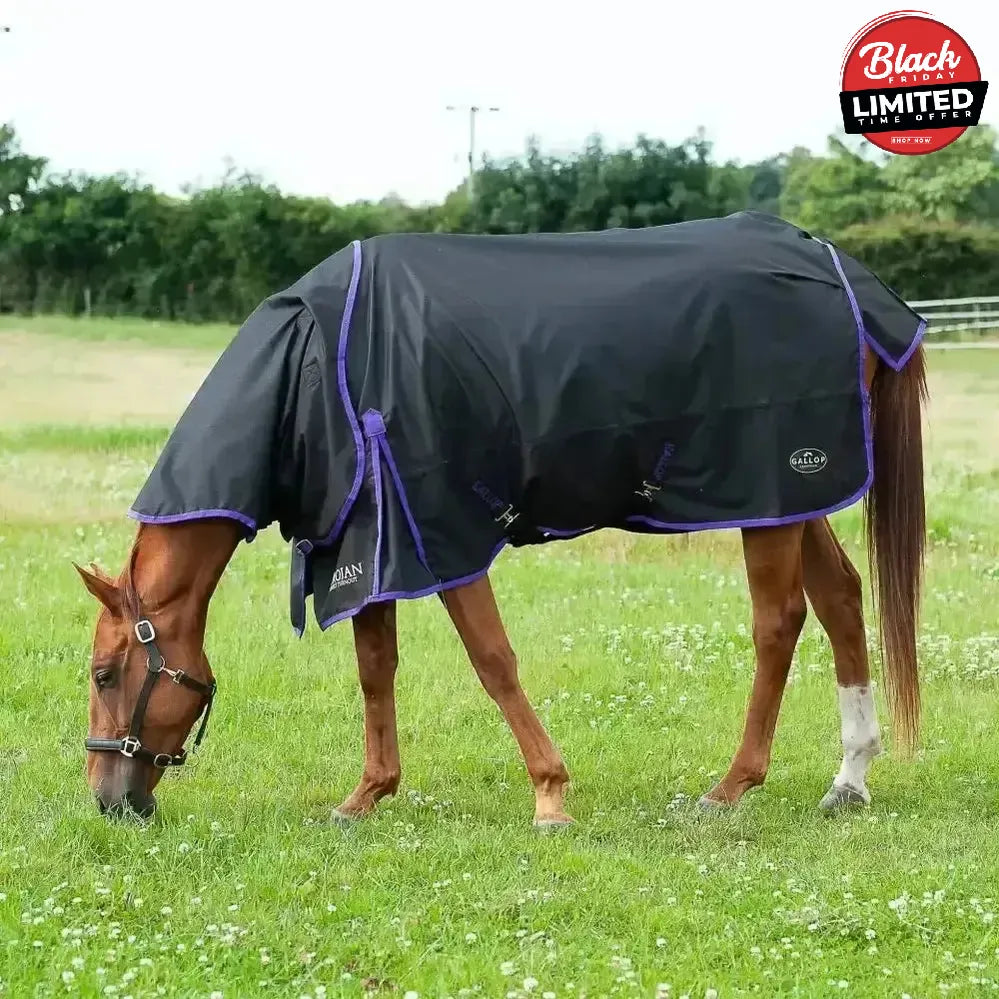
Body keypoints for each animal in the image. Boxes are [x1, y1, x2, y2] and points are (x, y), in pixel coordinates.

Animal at [75, 214, 928, 822]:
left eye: (105, 672)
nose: (108, 799)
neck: (314, 369)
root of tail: (838, 270)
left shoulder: (437, 533)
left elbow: (492, 660)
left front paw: (549, 792)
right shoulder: (368, 544)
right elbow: (375, 668)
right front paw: (365, 794)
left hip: (769, 491)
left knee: (777, 621)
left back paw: (730, 785)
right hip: (793, 495)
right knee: (841, 597)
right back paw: (848, 777)